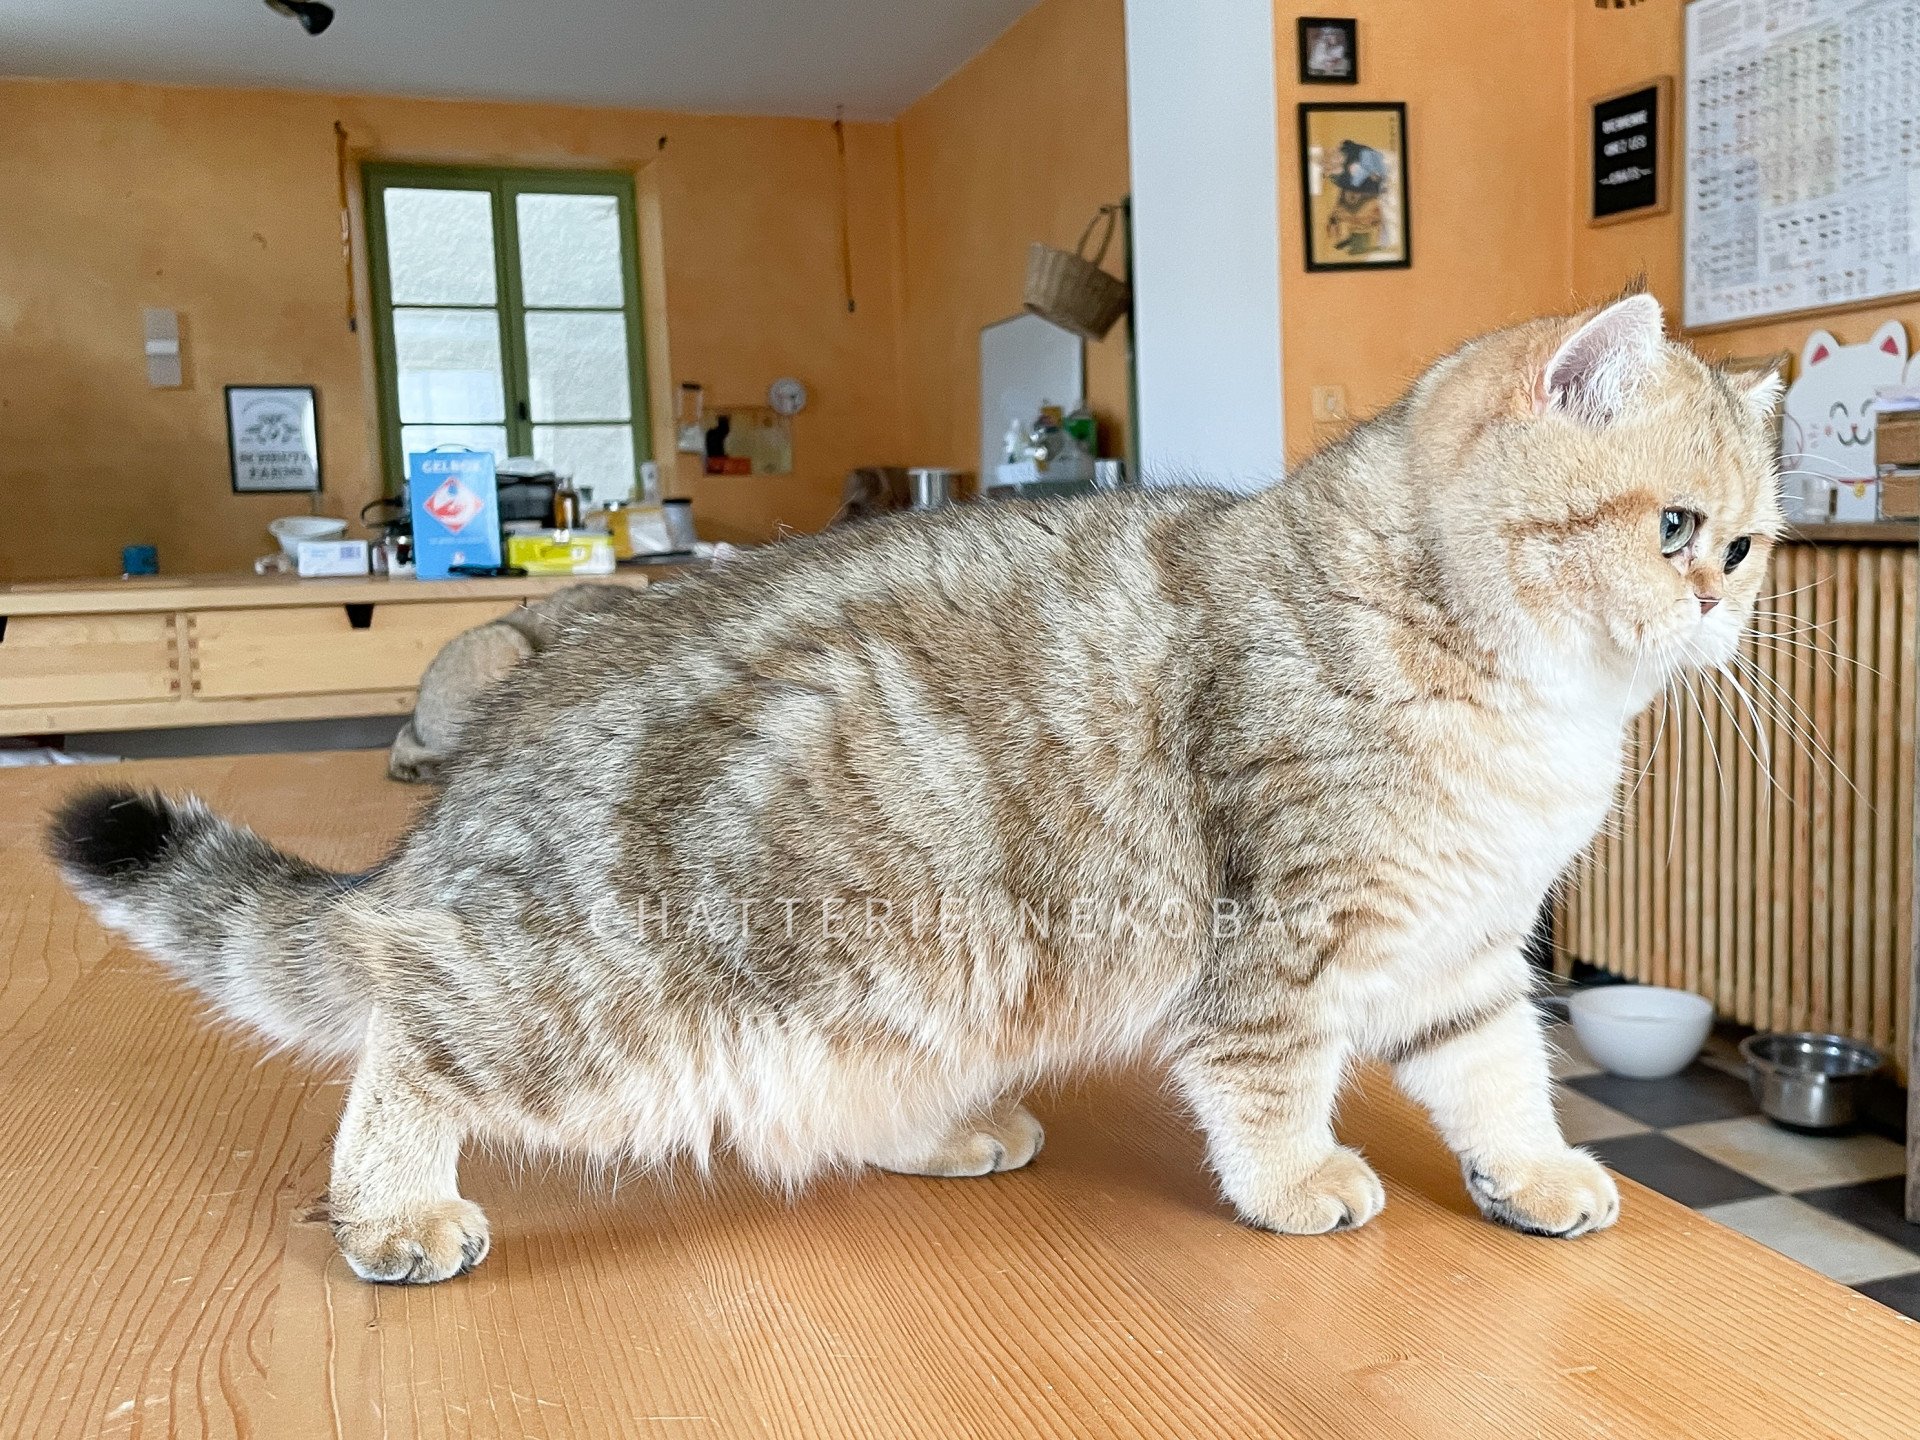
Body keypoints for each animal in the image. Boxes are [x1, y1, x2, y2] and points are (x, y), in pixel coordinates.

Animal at [48, 299, 1781, 1290]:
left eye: (1753, 543)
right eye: (1675, 524)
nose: (1724, 603)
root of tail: (461, 807)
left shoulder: (1465, 949)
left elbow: (1500, 1080)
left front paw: (1539, 1177)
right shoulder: (1282, 946)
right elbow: (1272, 1087)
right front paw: (1298, 1186)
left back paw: (946, 1133)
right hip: (589, 1010)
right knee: (408, 1035)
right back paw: (394, 1210)